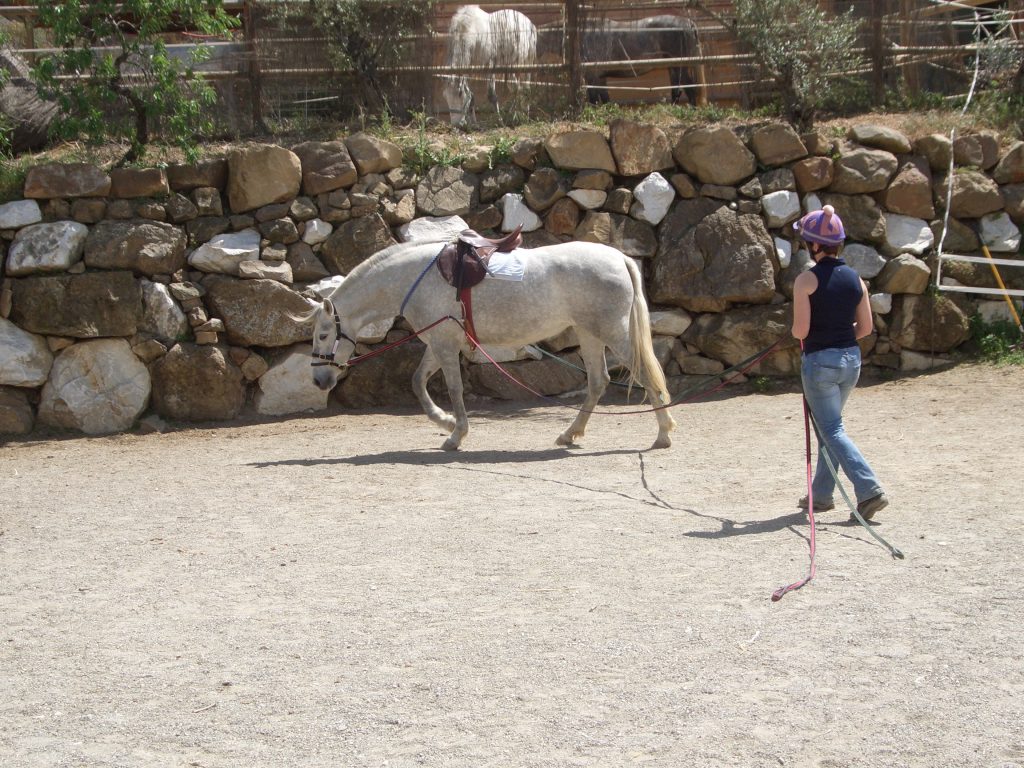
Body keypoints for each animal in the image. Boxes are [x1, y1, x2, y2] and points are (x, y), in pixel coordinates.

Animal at [299, 240, 675, 454]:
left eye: (323, 335)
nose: (318, 380)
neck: (413, 279)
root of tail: (620, 258)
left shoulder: (445, 346)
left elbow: (453, 388)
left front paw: (456, 435)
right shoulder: (438, 343)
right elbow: (418, 383)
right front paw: (445, 422)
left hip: (611, 332)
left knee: (645, 376)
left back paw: (663, 435)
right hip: (589, 334)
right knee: (598, 382)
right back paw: (569, 434)